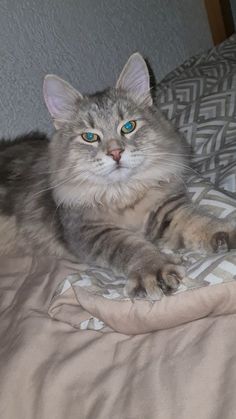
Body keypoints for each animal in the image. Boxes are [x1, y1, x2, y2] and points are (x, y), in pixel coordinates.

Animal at [0, 54, 235, 300]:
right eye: (90, 137)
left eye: (129, 126)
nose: (115, 153)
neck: (123, 194)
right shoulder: (92, 232)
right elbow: (132, 247)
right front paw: (155, 270)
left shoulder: (165, 211)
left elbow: (198, 221)